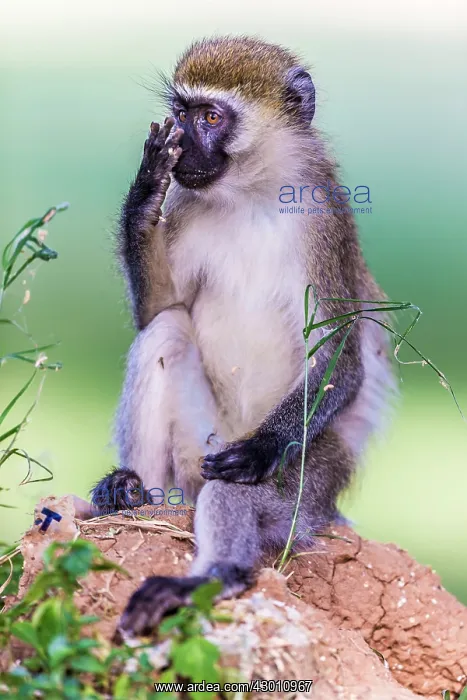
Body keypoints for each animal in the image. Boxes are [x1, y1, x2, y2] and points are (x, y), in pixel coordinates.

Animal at [90, 36, 393, 636]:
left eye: (211, 117)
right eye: (182, 112)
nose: (184, 147)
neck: (250, 193)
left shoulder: (324, 218)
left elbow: (343, 358)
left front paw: (260, 449)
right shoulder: (186, 202)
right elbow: (159, 310)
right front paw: (143, 193)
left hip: (315, 477)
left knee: (236, 489)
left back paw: (212, 575)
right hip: (192, 456)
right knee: (165, 333)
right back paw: (130, 490)